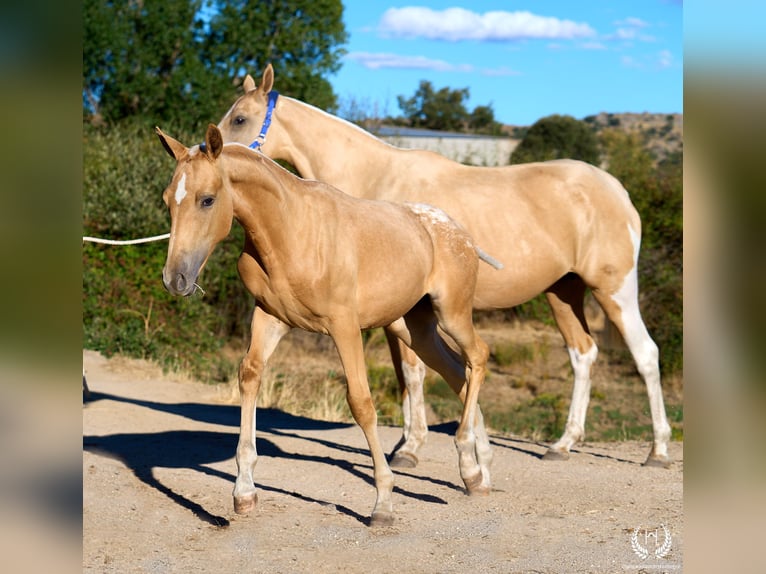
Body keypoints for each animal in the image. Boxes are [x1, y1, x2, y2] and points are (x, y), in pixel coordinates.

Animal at [156, 123, 500, 526]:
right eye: (168, 200)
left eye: (207, 200)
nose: (175, 279)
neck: (292, 230)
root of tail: (461, 235)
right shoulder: (268, 318)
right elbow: (250, 377)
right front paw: (244, 493)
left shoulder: (344, 327)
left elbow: (361, 402)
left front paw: (383, 503)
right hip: (416, 328)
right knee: (458, 374)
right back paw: (476, 472)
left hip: (452, 314)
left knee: (478, 357)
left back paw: (471, 461)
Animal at [214, 64, 672, 468]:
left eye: (240, 118)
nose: (212, 149)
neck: (376, 180)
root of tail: (617, 189)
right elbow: (406, 375)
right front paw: (407, 443)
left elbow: (414, 373)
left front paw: (412, 449)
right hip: (563, 291)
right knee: (583, 355)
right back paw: (563, 444)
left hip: (614, 290)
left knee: (646, 355)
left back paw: (658, 450)